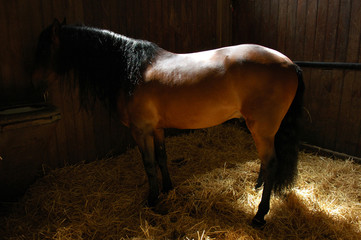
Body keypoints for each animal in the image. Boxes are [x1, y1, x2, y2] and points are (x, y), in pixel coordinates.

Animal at [33, 19, 304, 227]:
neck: (131, 68)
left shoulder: (140, 131)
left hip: (262, 129)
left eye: (45, 50)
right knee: (265, 163)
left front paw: (152, 199)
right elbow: (162, 158)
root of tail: (290, 63)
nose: (36, 85)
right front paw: (167, 188)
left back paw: (259, 214)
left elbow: (149, 164)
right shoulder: (157, 129)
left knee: (271, 163)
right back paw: (257, 188)